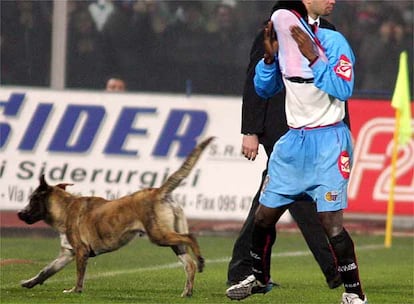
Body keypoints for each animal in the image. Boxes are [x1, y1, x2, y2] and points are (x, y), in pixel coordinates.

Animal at [17, 137, 213, 296]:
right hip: (172, 242)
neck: (65, 208)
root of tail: (159, 192)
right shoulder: (67, 254)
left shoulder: (81, 251)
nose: (20, 214)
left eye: (32, 199)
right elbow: (45, 270)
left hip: (159, 236)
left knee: (191, 237)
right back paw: (187, 291)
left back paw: (201, 261)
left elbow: (79, 275)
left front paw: (76, 290)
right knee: (189, 264)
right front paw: (30, 282)